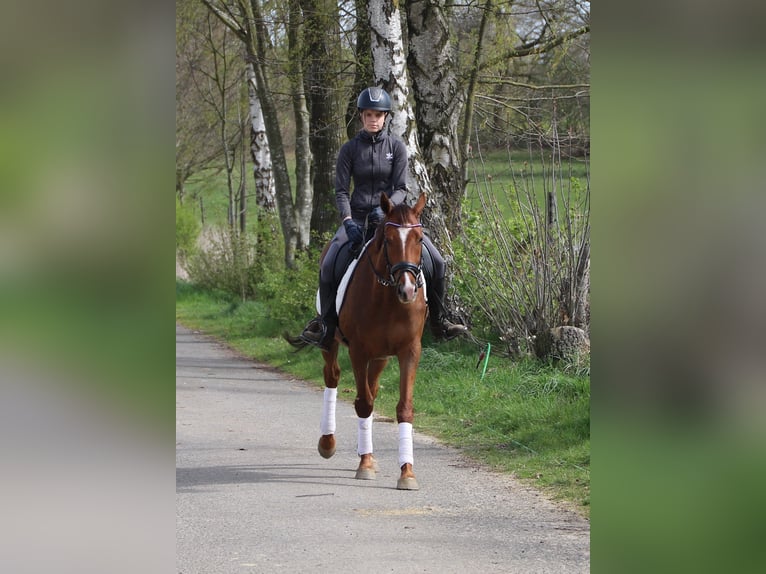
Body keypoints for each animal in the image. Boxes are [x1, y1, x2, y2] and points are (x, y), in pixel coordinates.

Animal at [287, 192, 428, 490]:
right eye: (388, 240)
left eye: (419, 239)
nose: (408, 289)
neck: (387, 299)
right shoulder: (359, 352)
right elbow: (363, 404)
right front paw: (364, 465)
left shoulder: (409, 351)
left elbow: (404, 408)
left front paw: (407, 472)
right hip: (332, 342)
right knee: (332, 377)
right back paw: (328, 443)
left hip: (381, 357)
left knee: (371, 388)